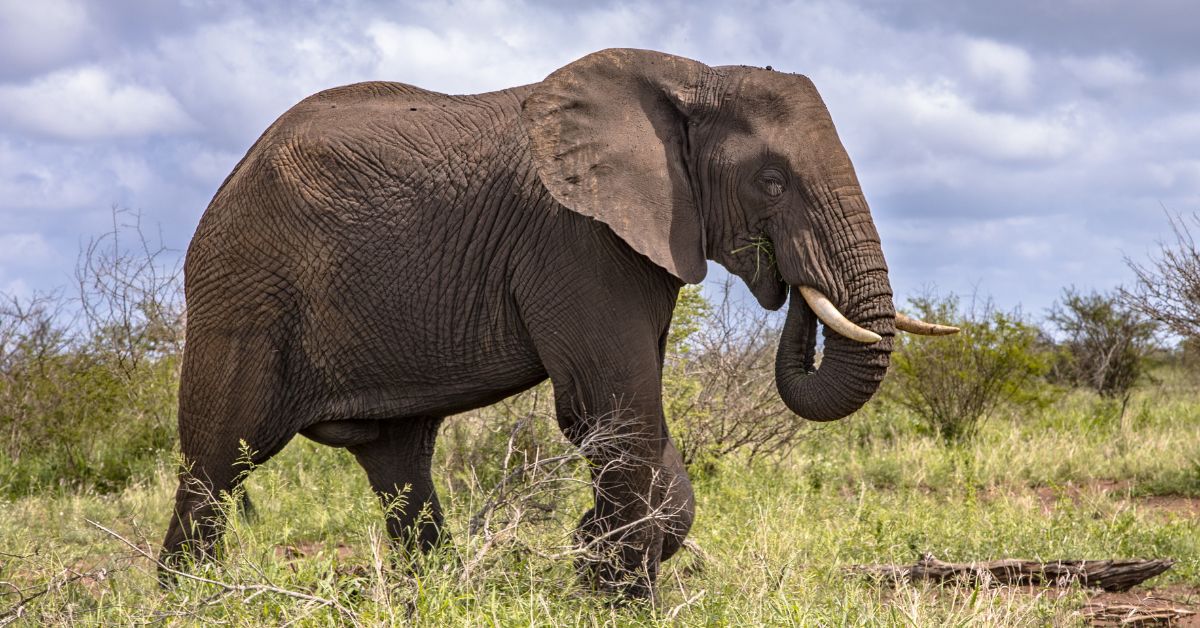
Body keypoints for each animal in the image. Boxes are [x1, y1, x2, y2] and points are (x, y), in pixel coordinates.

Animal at [160, 48, 955, 597]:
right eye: (771, 181)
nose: (786, 278)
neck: (690, 76)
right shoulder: (575, 239)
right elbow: (614, 408)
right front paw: (620, 595)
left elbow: (633, 416)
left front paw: (595, 560)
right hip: (243, 292)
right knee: (216, 462)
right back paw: (190, 601)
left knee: (399, 461)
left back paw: (440, 592)